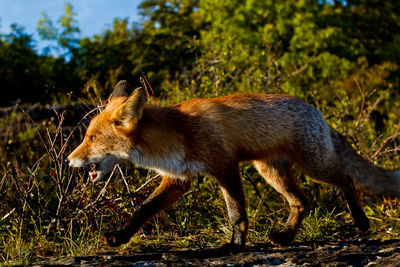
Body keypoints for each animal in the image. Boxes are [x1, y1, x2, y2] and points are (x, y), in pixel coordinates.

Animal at [67, 80, 398, 252]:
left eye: (92, 138)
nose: (69, 160)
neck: (180, 134)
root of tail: (316, 111)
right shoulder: (178, 179)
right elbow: (143, 210)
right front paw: (120, 237)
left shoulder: (224, 166)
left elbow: (236, 213)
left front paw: (235, 245)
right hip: (271, 172)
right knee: (302, 202)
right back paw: (286, 237)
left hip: (313, 165)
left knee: (346, 180)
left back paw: (361, 222)